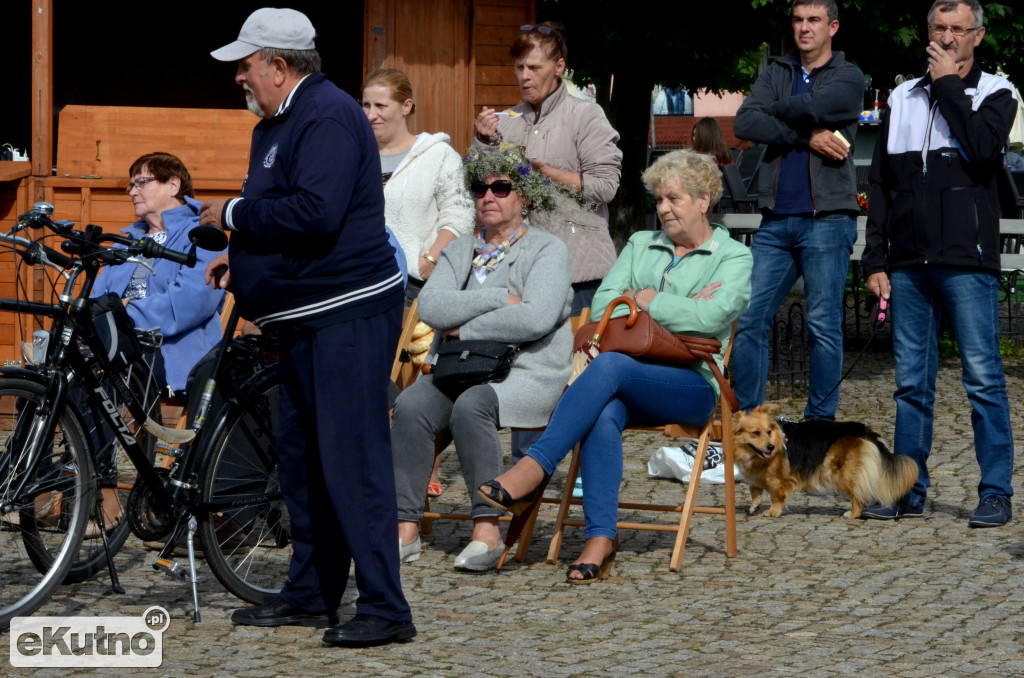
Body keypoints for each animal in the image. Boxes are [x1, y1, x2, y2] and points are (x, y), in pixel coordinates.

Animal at [733, 409, 917, 520]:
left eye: (769, 432)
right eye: (756, 433)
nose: (771, 447)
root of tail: (863, 430)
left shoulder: (777, 479)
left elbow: (776, 495)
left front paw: (773, 511)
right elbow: (754, 489)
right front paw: (754, 505)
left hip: (842, 473)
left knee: (858, 496)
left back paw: (853, 514)